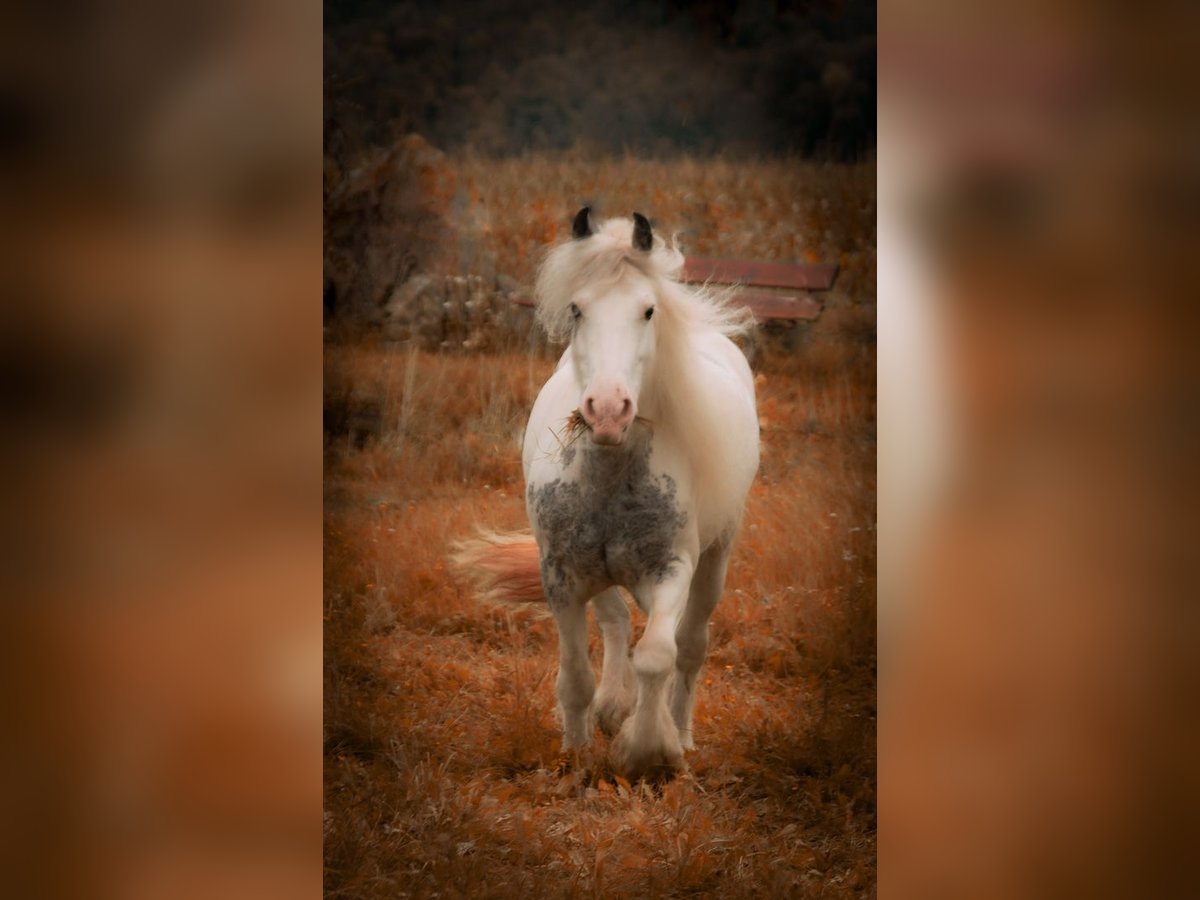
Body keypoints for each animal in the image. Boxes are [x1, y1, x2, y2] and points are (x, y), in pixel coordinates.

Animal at [458, 211, 758, 782]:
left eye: (648, 310)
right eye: (578, 308)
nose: (608, 410)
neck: (611, 470)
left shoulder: (672, 569)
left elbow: (658, 656)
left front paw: (648, 750)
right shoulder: (561, 574)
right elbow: (576, 671)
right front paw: (577, 750)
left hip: (716, 558)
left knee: (690, 647)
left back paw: (680, 733)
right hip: (598, 573)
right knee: (617, 622)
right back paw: (614, 707)